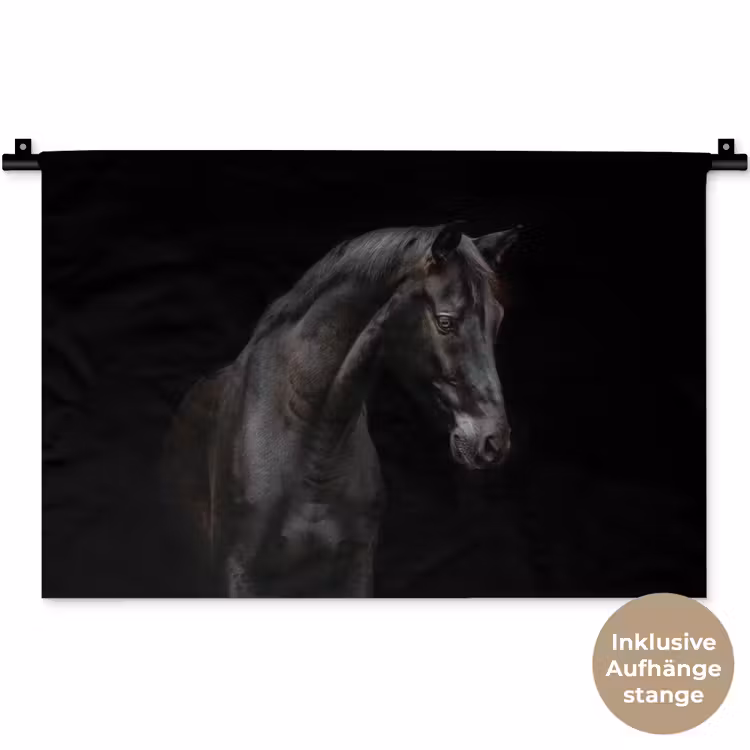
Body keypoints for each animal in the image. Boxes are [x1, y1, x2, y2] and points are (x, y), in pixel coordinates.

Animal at [163, 223, 518, 596]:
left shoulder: (356, 566)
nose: (493, 441)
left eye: (498, 319)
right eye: (446, 321)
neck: (313, 444)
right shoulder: (238, 570)